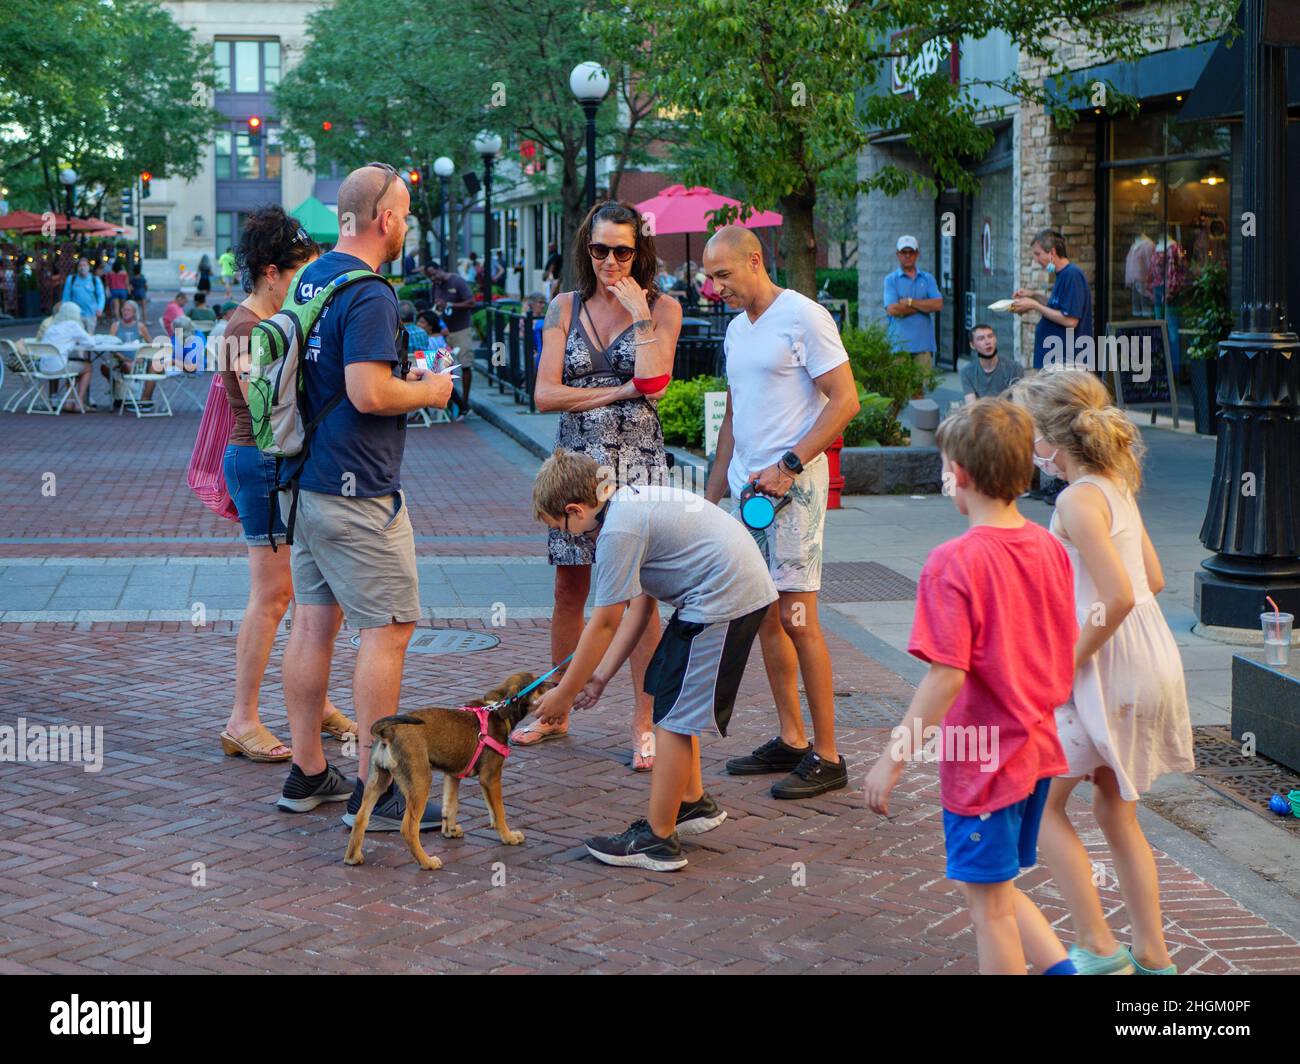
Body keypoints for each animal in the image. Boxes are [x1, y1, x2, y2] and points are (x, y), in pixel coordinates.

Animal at [343, 671, 551, 868]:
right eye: (540, 684)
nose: (555, 683)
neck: (497, 710)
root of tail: (389, 731)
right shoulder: (490, 778)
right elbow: (499, 812)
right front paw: (508, 837)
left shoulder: (453, 775)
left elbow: (451, 806)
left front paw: (450, 831)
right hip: (420, 782)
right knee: (408, 828)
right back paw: (427, 862)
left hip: (378, 780)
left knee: (360, 818)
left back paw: (353, 857)